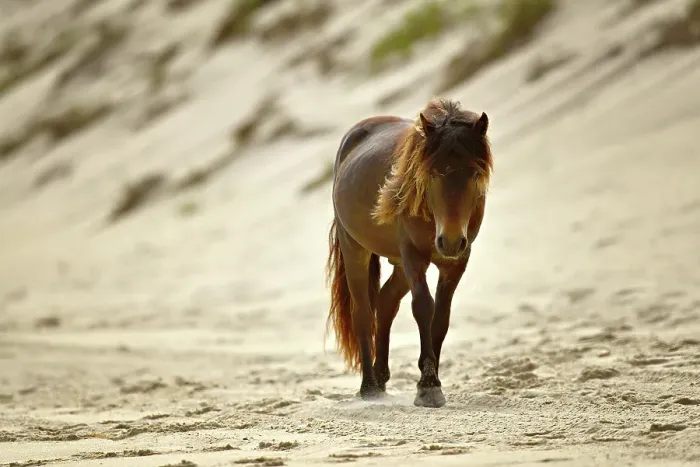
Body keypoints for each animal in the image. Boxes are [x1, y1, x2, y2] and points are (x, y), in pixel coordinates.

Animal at [325, 97, 493, 408]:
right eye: (433, 173)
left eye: (475, 173)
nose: (451, 241)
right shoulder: (414, 257)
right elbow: (423, 308)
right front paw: (428, 386)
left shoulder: (455, 264)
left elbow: (441, 318)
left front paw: (431, 380)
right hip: (356, 248)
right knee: (363, 312)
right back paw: (369, 387)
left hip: (401, 265)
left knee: (385, 302)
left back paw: (381, 376)